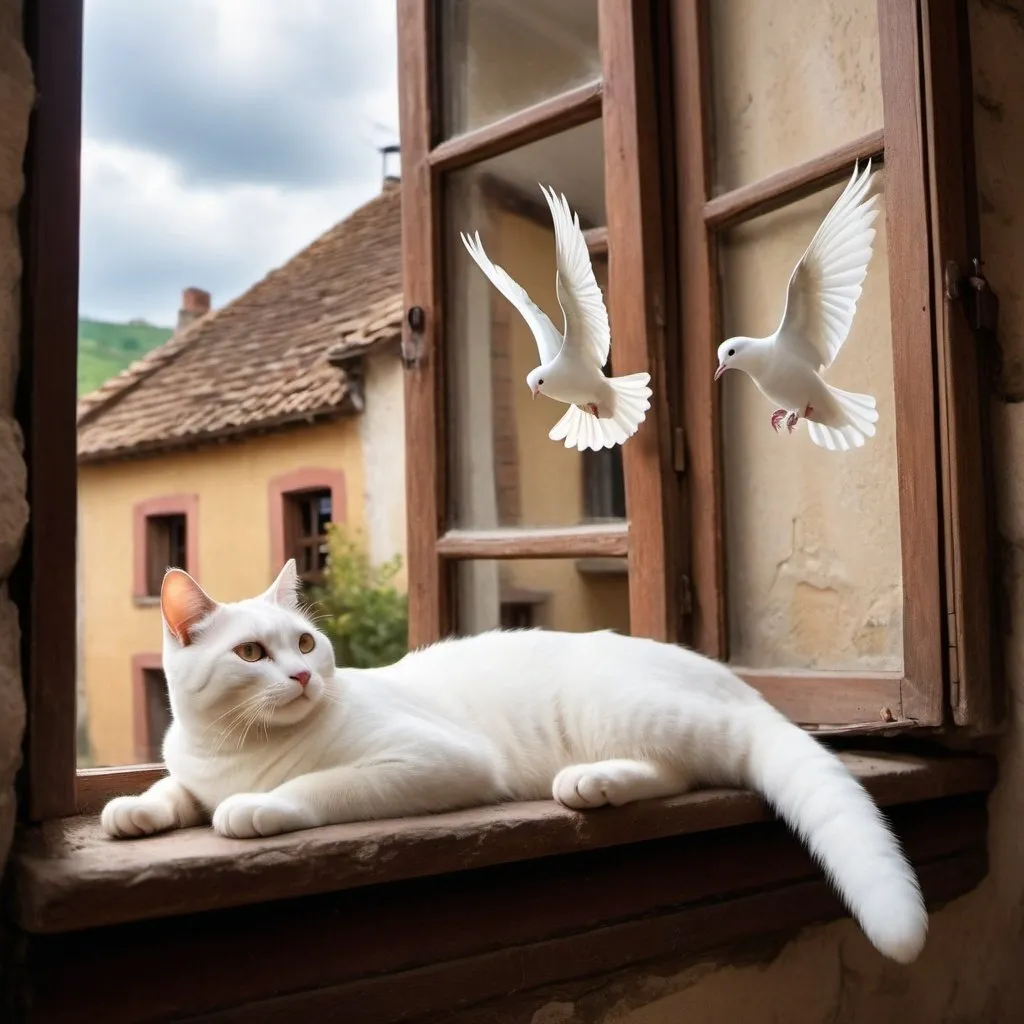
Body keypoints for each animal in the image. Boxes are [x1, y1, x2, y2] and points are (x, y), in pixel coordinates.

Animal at [101, 565, 929, 962]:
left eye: (304, 643)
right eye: (251, 653)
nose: (304, 676)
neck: (237, 748)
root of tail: (741, 686)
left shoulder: (437, 760)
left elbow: (317, 785)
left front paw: (255, 807)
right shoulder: (194, 766)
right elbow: (176, 788)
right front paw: (134, 809)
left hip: (617, 704)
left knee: (707, 758)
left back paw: (595, 779)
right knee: (680, 769)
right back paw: (593, 783)